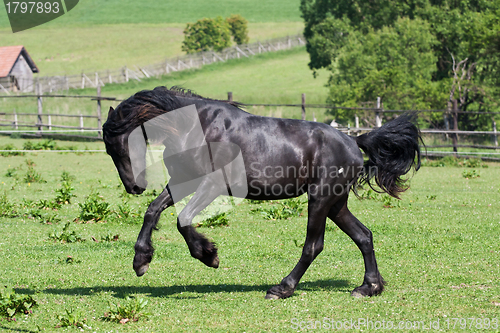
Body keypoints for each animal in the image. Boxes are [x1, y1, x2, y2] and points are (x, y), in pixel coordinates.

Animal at [102, 86, 422, 298]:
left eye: (119, 145)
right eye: (108, 149)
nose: (133, 187)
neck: (194, 126)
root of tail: (354, 142)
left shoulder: (212, 184)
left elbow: (183, 220)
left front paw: (208, 254)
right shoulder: (184, 180)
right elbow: (153, 210)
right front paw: (141, 261)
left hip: (320, 199)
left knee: (314, 246)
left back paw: (282, 288)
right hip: (336, 204)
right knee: (364, 236)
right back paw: (368, 287)